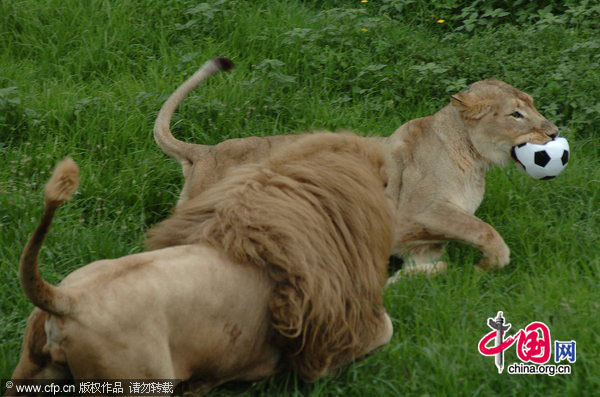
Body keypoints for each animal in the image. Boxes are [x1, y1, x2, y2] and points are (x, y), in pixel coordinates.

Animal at [154, 57, 556, 280]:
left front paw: (402, 285)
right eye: (516, 114)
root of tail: (205, 152)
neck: (474, 159)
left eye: (533, 105)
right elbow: (483, 230)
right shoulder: (419, 209)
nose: (554, 132)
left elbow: (436, 265)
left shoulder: (420, 240)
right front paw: (488, 265)